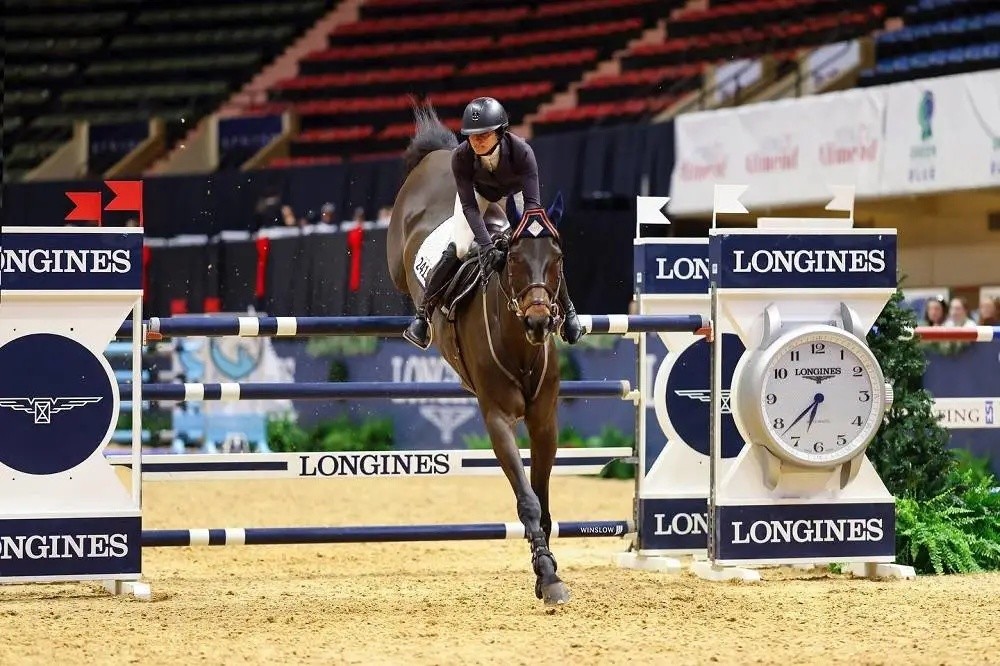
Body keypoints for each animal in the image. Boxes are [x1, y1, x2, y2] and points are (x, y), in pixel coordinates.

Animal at [382, 102, 572, 600]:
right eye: (516, 262)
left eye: (558, 260)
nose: (539, 321)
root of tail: (436, 154)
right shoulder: (498, 419)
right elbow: (527, 500)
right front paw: (547, 574)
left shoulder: (544, 420)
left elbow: (544, 498)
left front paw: (548, 570)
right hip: (405, 252)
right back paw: (418, 320)